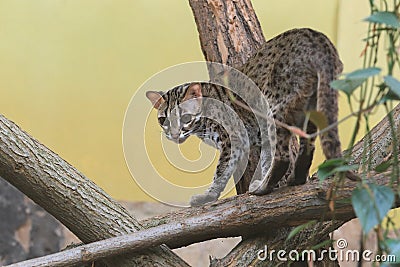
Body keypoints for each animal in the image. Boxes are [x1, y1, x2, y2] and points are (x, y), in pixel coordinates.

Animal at [146, 28, 346, 207]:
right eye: (164, 120)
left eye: (186, 118)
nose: (173, 134)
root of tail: (317, 38)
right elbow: (265, 158)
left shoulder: (233, 138)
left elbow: (221, 171)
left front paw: (208, 196)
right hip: (311, 106)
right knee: (307, 146)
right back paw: (295, 179)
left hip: (273, 106)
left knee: (283, 156)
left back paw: (263, 187)